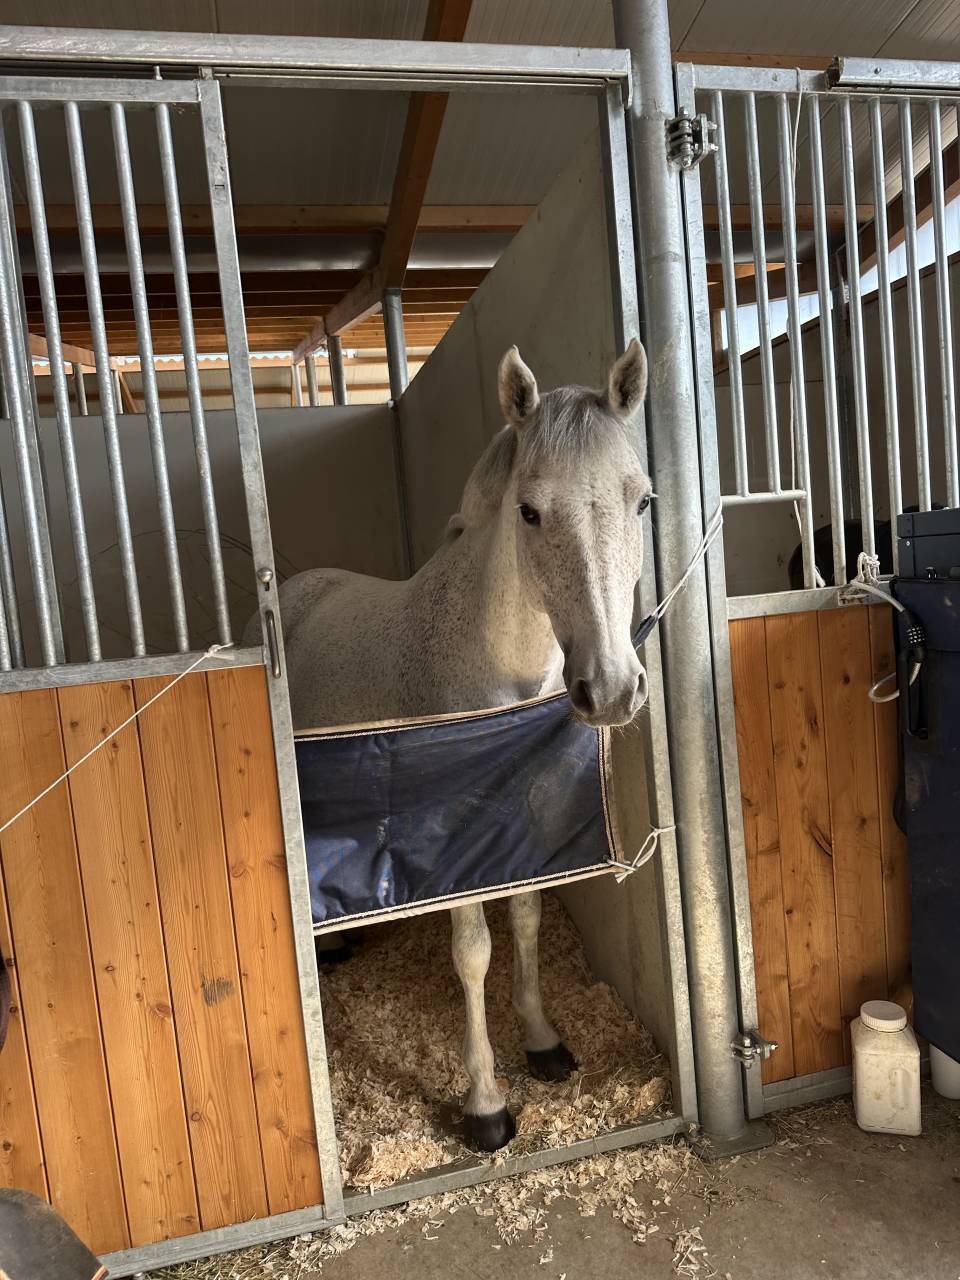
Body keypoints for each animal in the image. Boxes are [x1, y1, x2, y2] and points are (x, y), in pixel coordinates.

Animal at [262, 340, 651, 1151]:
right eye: (530, 511)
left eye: (642, 500)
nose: (610, 688)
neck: (495, 655)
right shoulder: (450, 837)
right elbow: (473, 954)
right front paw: (486, 1105)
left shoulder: (524, 809)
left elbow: (527, 919)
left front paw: (542, 1041)